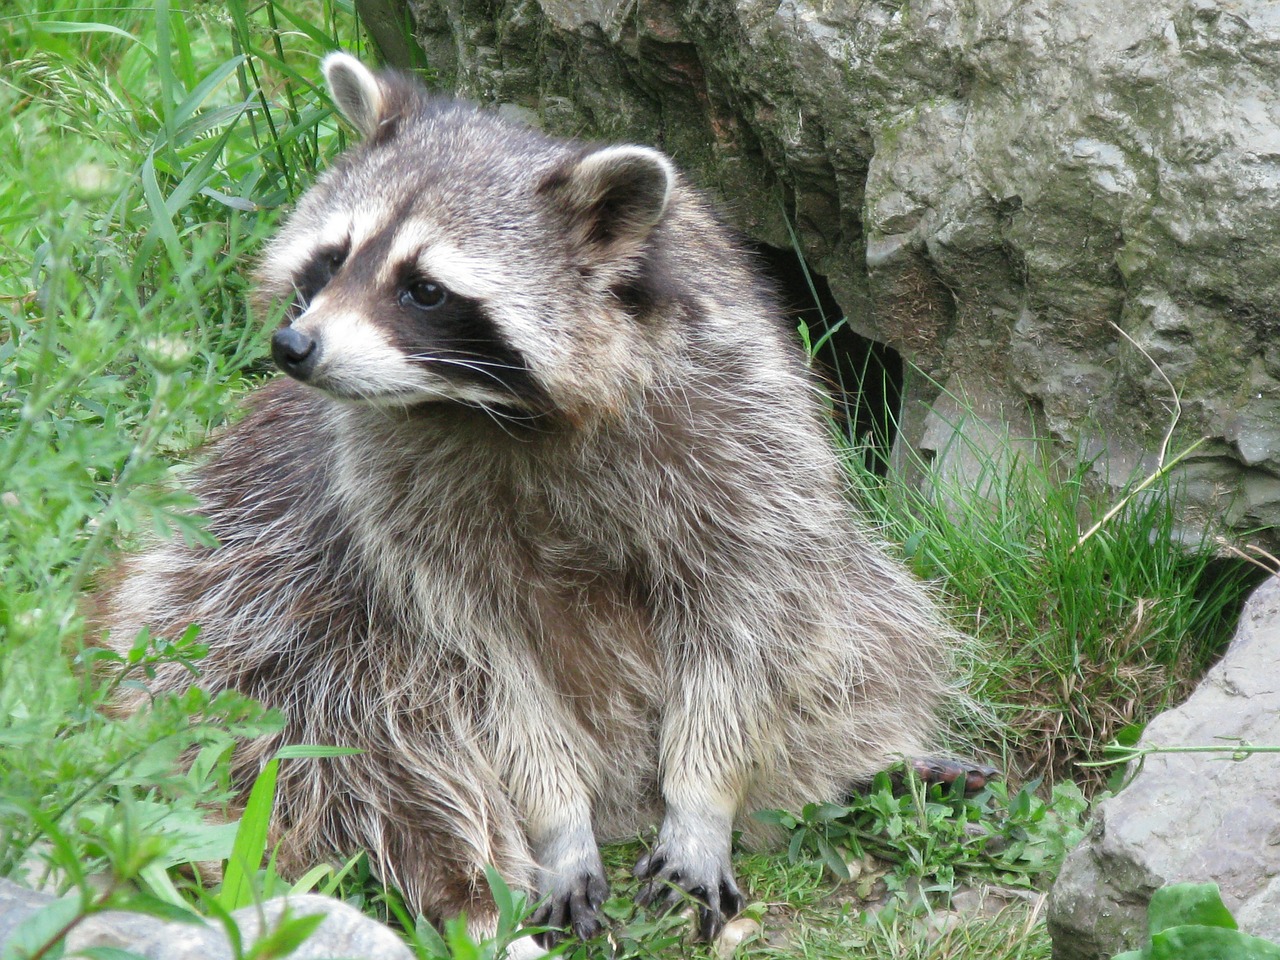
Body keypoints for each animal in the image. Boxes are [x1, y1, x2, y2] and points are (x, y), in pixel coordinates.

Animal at [99, 54, 957, 960]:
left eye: (425, 290)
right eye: (332, 258)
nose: (294, 347)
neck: (493, 410)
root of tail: (626, 803)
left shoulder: (741, 426)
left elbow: (753, 615)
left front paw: (705, 796)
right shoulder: (390, 509)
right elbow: (480, 665)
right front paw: (556, 823)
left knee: (868, 632)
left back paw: (860, 765)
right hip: (244, 620)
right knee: (370, 740)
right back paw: (469, 885)